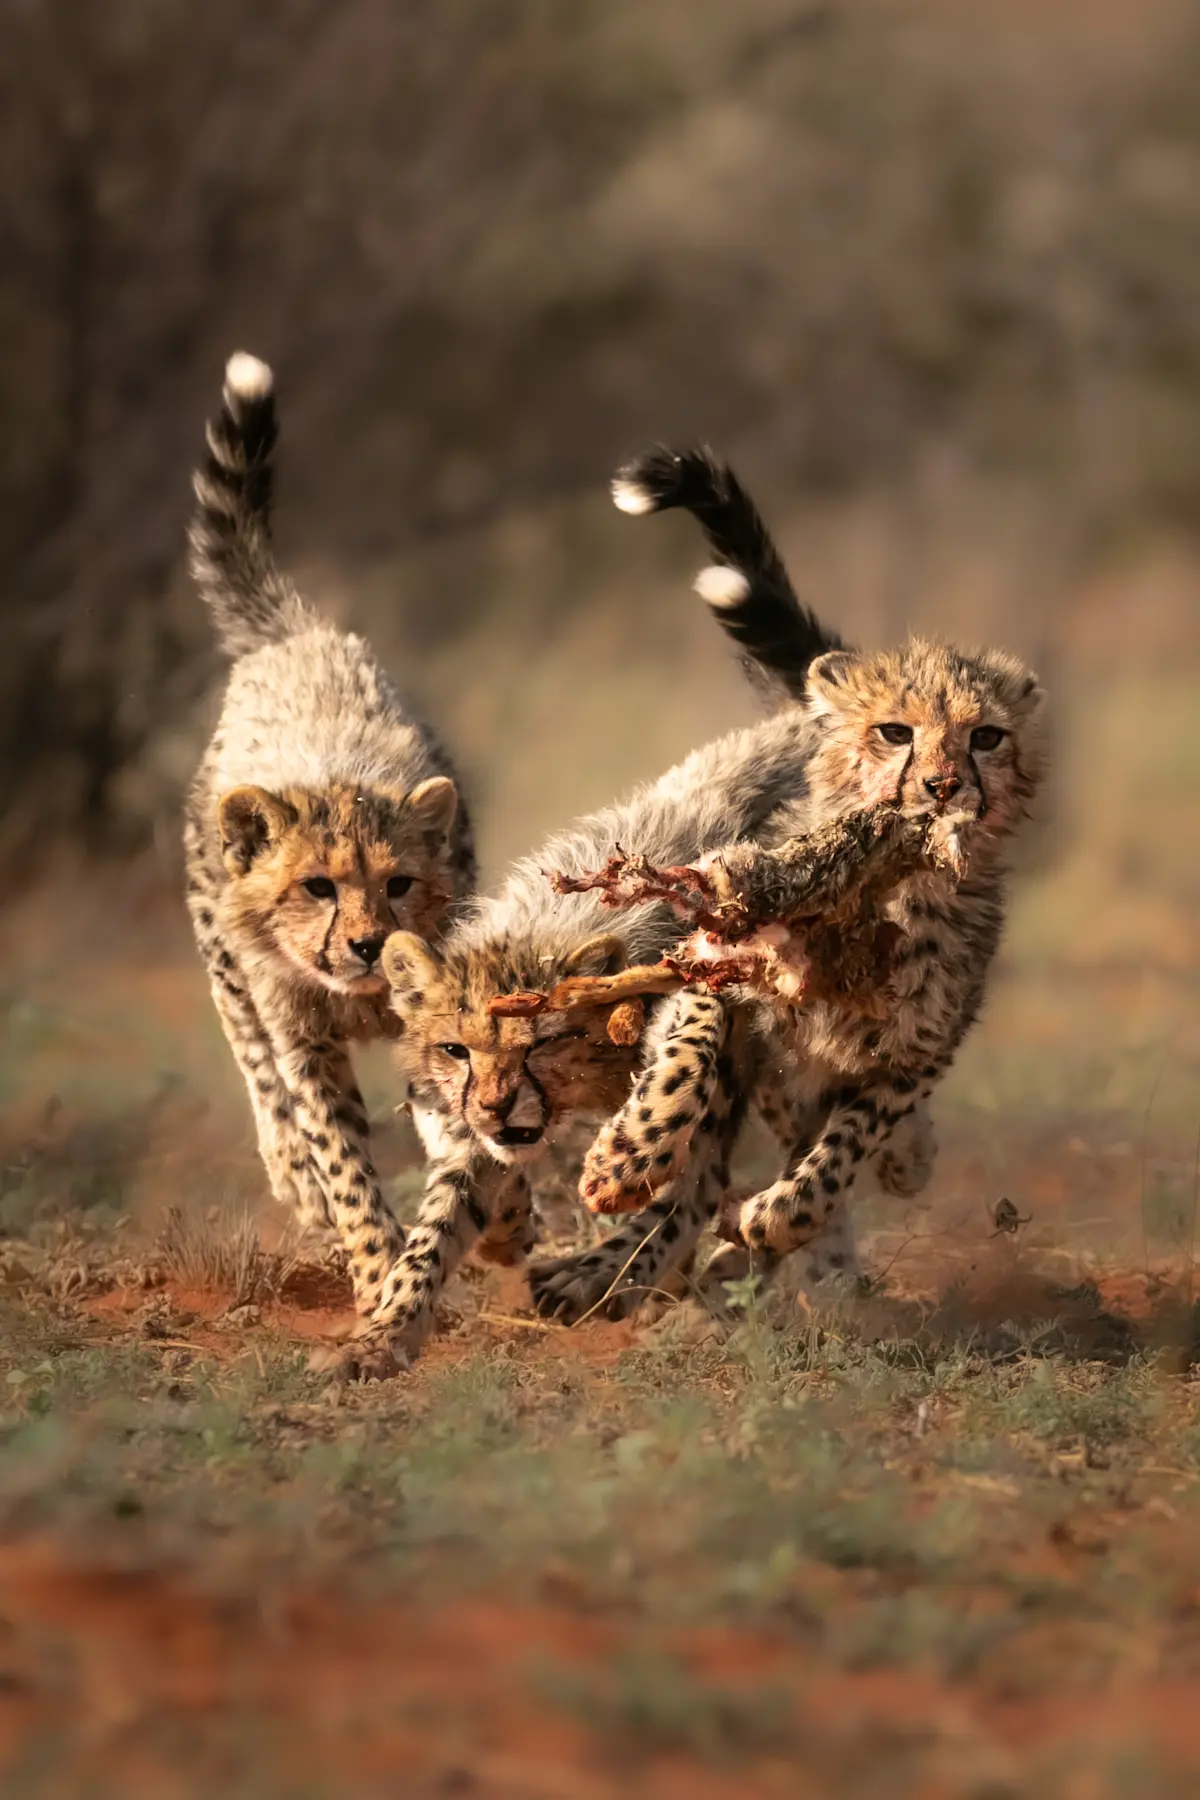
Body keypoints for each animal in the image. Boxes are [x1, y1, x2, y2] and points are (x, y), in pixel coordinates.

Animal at [183, 351, 476, 1321]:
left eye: (398, 884)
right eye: (315, 885)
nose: (367, 943)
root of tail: (299, 638)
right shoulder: (302, 1036)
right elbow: (344, 1162)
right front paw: (379, 1269)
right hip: (225, 960)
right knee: (255, 1069)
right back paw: (292, 1176)